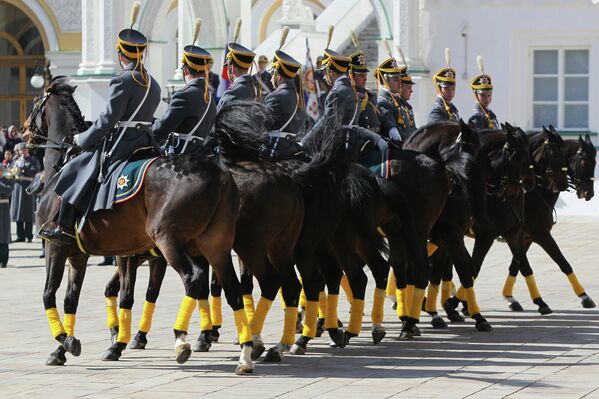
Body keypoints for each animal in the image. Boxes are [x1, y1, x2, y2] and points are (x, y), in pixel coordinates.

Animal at [21, 78, 253, 376]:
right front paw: (68, 348)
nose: (24, 131)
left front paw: (71, 341)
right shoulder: (81, 256)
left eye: (35, 103)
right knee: (233, 289)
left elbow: (51, 295)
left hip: (169, 241)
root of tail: (220, 173)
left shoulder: (57, 247)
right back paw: (245, 352)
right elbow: (74, 299)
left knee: (196, 278)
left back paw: (183, 339)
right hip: (216, 246)